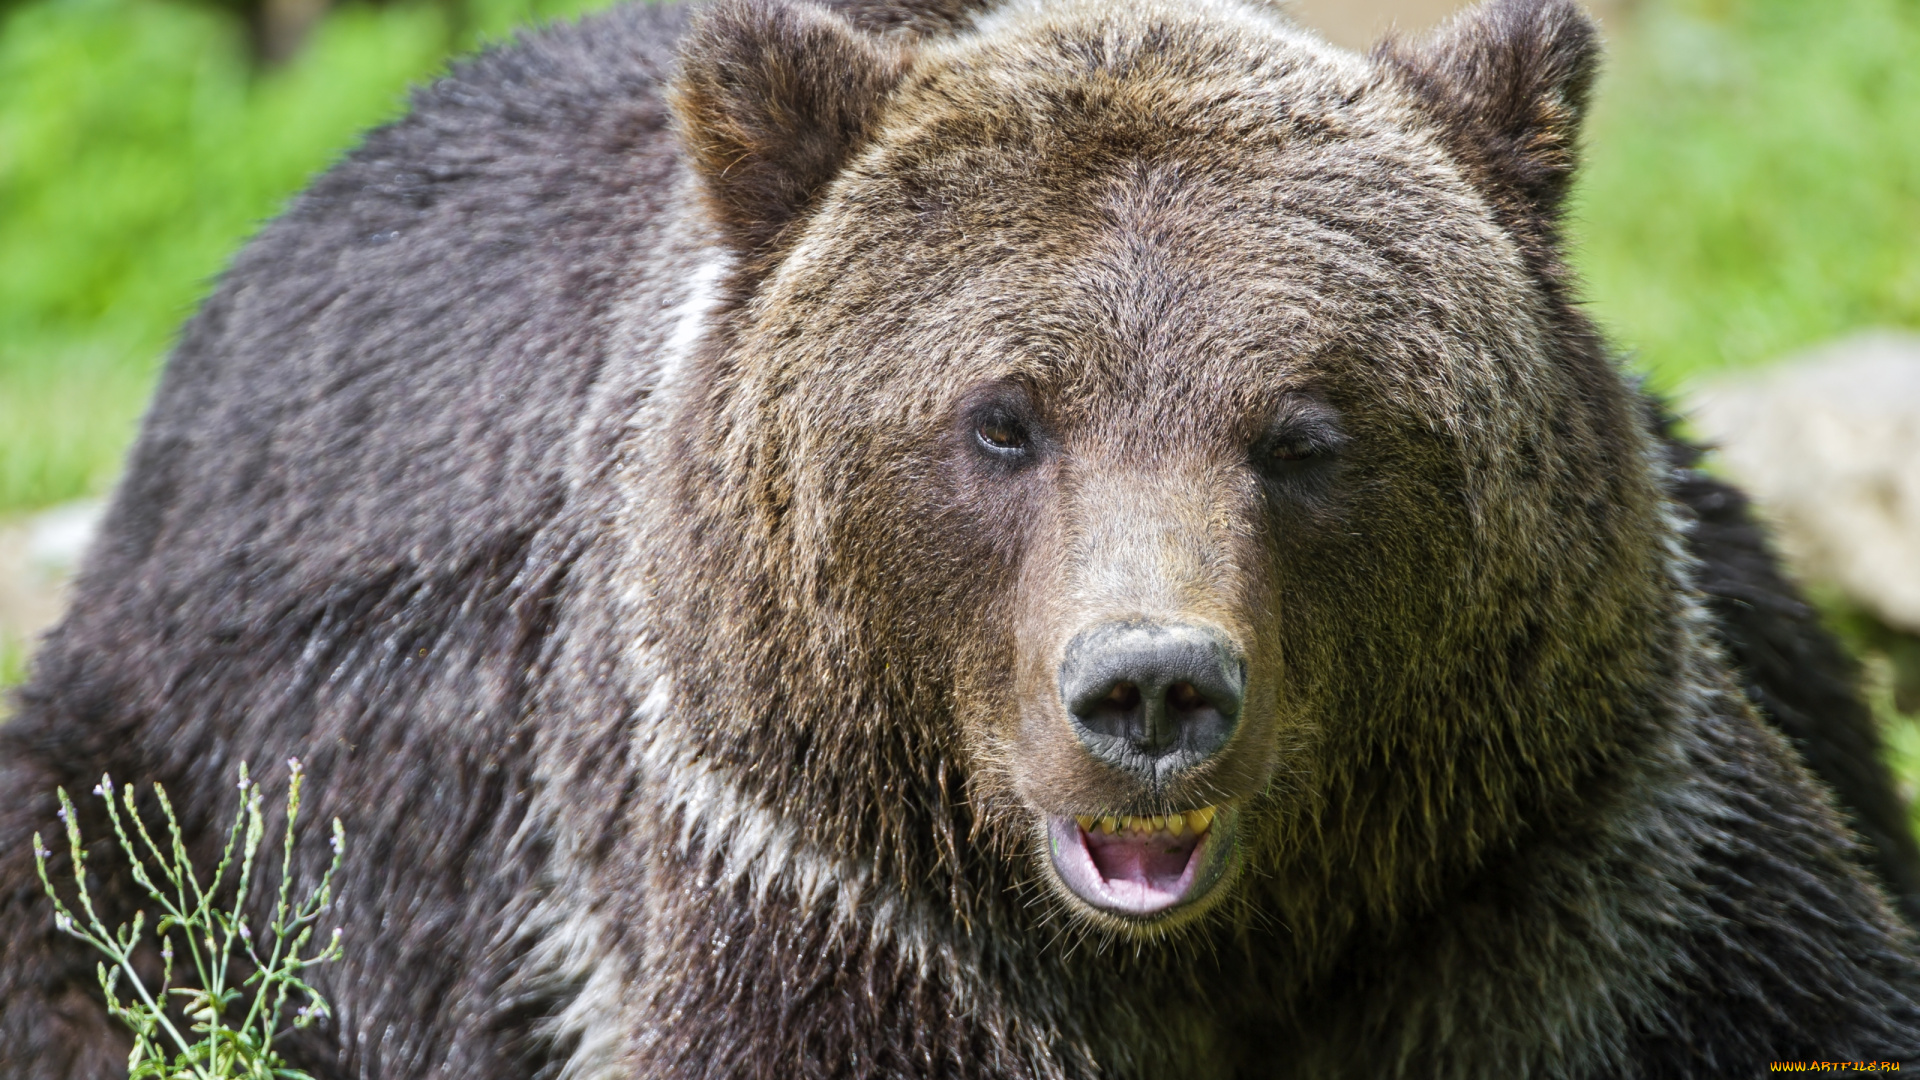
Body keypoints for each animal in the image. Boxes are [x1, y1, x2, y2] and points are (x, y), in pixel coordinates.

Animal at [3, 0, 1920, 1068]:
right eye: (1002, 419)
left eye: (1307, 430)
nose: (1153, 691)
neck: (1228, 952)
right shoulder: (831, 891)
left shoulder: (1557, 854)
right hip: (191, 781)